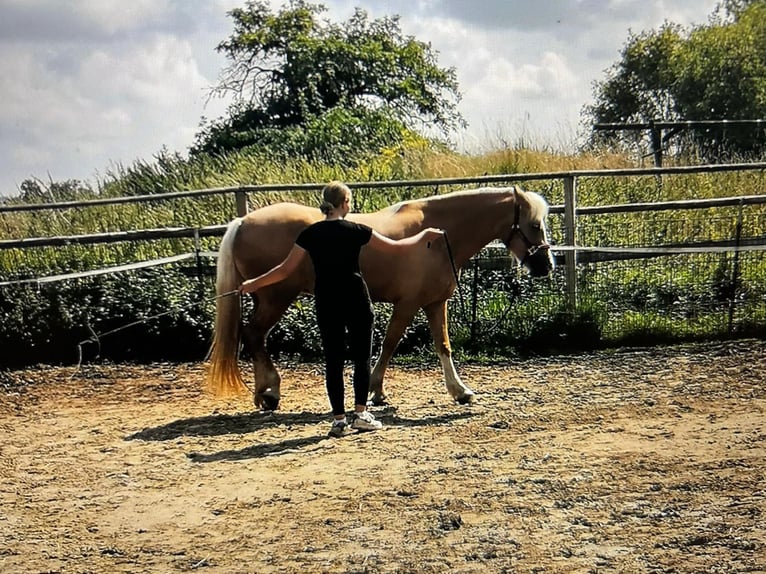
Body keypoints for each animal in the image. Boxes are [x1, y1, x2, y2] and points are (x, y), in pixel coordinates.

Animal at [207, 187, 556, 412]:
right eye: (534, 224)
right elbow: (389, 343)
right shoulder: (408, 304)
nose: (547, 266)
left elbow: (442, 345)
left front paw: (460, 391)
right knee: (253, 334)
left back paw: (265, 393)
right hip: (276, 298)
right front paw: (376, 391)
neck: (440, 238)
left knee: (253, 336)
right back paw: (269, 392)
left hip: (266, 298)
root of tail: (242, 222)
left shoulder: (434, 303)